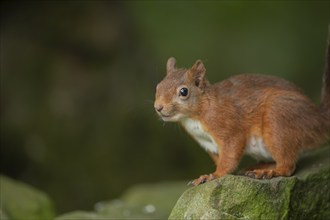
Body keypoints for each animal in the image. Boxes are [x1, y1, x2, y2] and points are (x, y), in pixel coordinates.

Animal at [155, 34, 330, 186]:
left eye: (184, 91)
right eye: (157, 87)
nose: (158, 107)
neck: (195, 115)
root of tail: (318, 119)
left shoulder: (227, 127)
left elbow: (230, 155)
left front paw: (214, 175)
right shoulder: (208, 144)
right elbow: (221, 159)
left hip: (278, 120)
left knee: (287, 165)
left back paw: (270, 172)